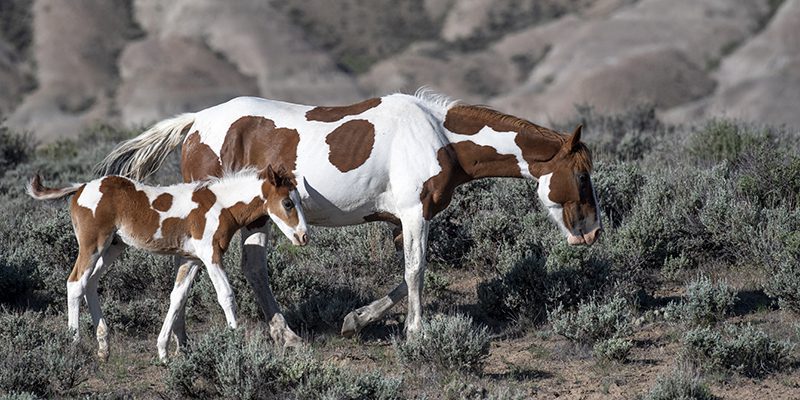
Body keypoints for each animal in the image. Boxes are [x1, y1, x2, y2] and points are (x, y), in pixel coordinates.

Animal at [25, 166, 306, 360]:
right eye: (287, 203)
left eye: (299, 201)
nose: (303, 236)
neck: (221, 205)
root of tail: (81, 187)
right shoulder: (210, 254)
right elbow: (226, 295)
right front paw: (237, 346)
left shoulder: (191, 259)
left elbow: (177, 297)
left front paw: (163, 352)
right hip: (92, 244)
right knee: (75, 283)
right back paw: (74, 345)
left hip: (113, 246)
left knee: (91, 283)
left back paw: (103, 347)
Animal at [98, 90, 600, 354]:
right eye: (581, 174)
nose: (591, 232)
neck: (437, 136)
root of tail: (196, 123)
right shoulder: (415, 214)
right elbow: (416, 272)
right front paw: (416, 334)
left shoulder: (401, 221)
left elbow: (405, 277)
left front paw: (355, 321)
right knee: (207, 267)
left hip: (257, 218)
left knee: (234, 269)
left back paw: (214, 341)